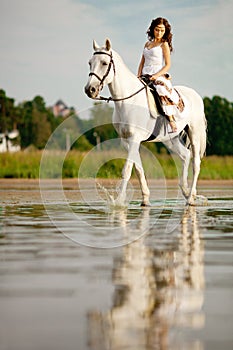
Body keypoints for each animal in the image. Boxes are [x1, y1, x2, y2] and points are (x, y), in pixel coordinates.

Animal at [84, 39, 206, 205]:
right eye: (90, 63)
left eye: (104, 63)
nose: (90, 89)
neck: (127, 101)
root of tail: (195, 95)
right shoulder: (127, 140)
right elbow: (138, 168)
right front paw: (145, 199)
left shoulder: (135, 138)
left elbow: (127, 169)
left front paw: (119, 202)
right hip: (170, 138)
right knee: (185, 155)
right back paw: (187, 192)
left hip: (194, 133)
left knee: (196, 163)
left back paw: (191, 198)